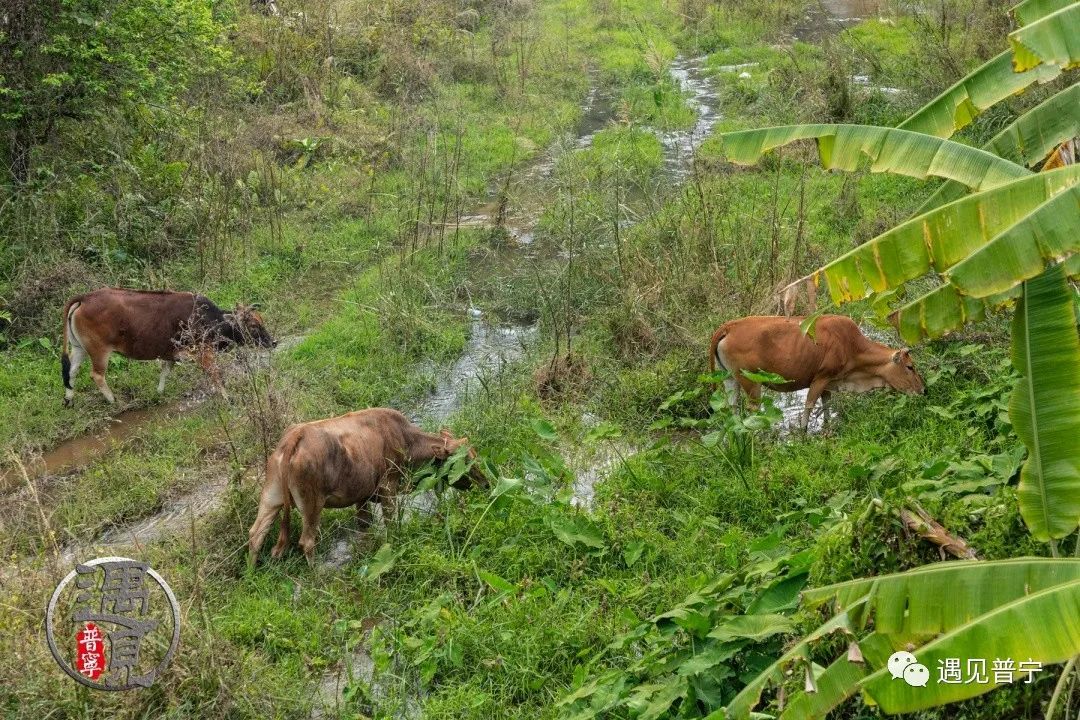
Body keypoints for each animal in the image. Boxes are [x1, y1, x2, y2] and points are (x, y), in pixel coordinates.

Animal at [61, 289, 276, 408]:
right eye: (253, 326)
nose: (273, 342)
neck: (209, 320)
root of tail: (85, 298)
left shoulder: (170, 354)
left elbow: (165, 372)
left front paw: (159, 393)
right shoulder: (204, 353)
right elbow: (216, 375)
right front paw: (228, 398)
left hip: (79, 347)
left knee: (72, 371)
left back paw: (69, 399)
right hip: (100, 351)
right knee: (96, 375)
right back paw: (114, 401)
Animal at [248, 408, 486, 565]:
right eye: (465, 461)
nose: (486, 484)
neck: (406, 440)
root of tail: (295, 435)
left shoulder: (362, 496)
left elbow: (365, 526)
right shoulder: (388, 488)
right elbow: (391, 523)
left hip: (271, 497)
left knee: (256, 535)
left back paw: (251, 572)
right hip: (312, 504)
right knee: (307, 542)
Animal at [704, 313, 924, 427]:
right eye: (910, 367)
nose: (923, 389)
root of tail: (729, 326)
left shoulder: (829, 382)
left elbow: (826, 405)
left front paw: (827, 426)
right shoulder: (821, 377)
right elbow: (809, 406)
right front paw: (803, 435)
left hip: (730, 378)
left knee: (732, 407)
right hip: (751, 382)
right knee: (752, 411)